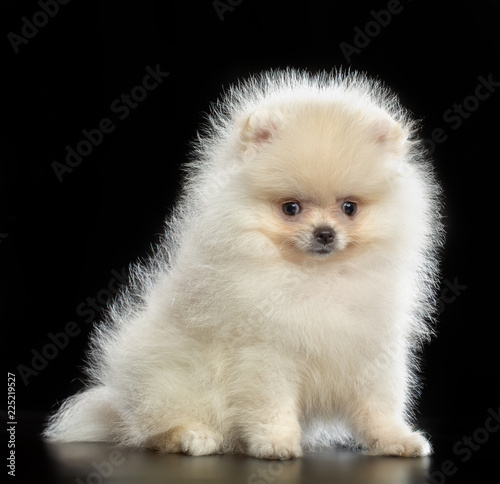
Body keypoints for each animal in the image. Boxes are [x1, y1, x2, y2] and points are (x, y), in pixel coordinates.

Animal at [43, 68, 442, 458]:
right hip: (171, 380)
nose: (325, 233)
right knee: (153, 427)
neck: (315, 276)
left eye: (349, 207)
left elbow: (380, 407)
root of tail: (120, 403)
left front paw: (396, 440)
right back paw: (192, 437)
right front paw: (275, 443)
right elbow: (271, 404)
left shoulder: (372, 350)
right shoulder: (264, 352)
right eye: (290, 208)